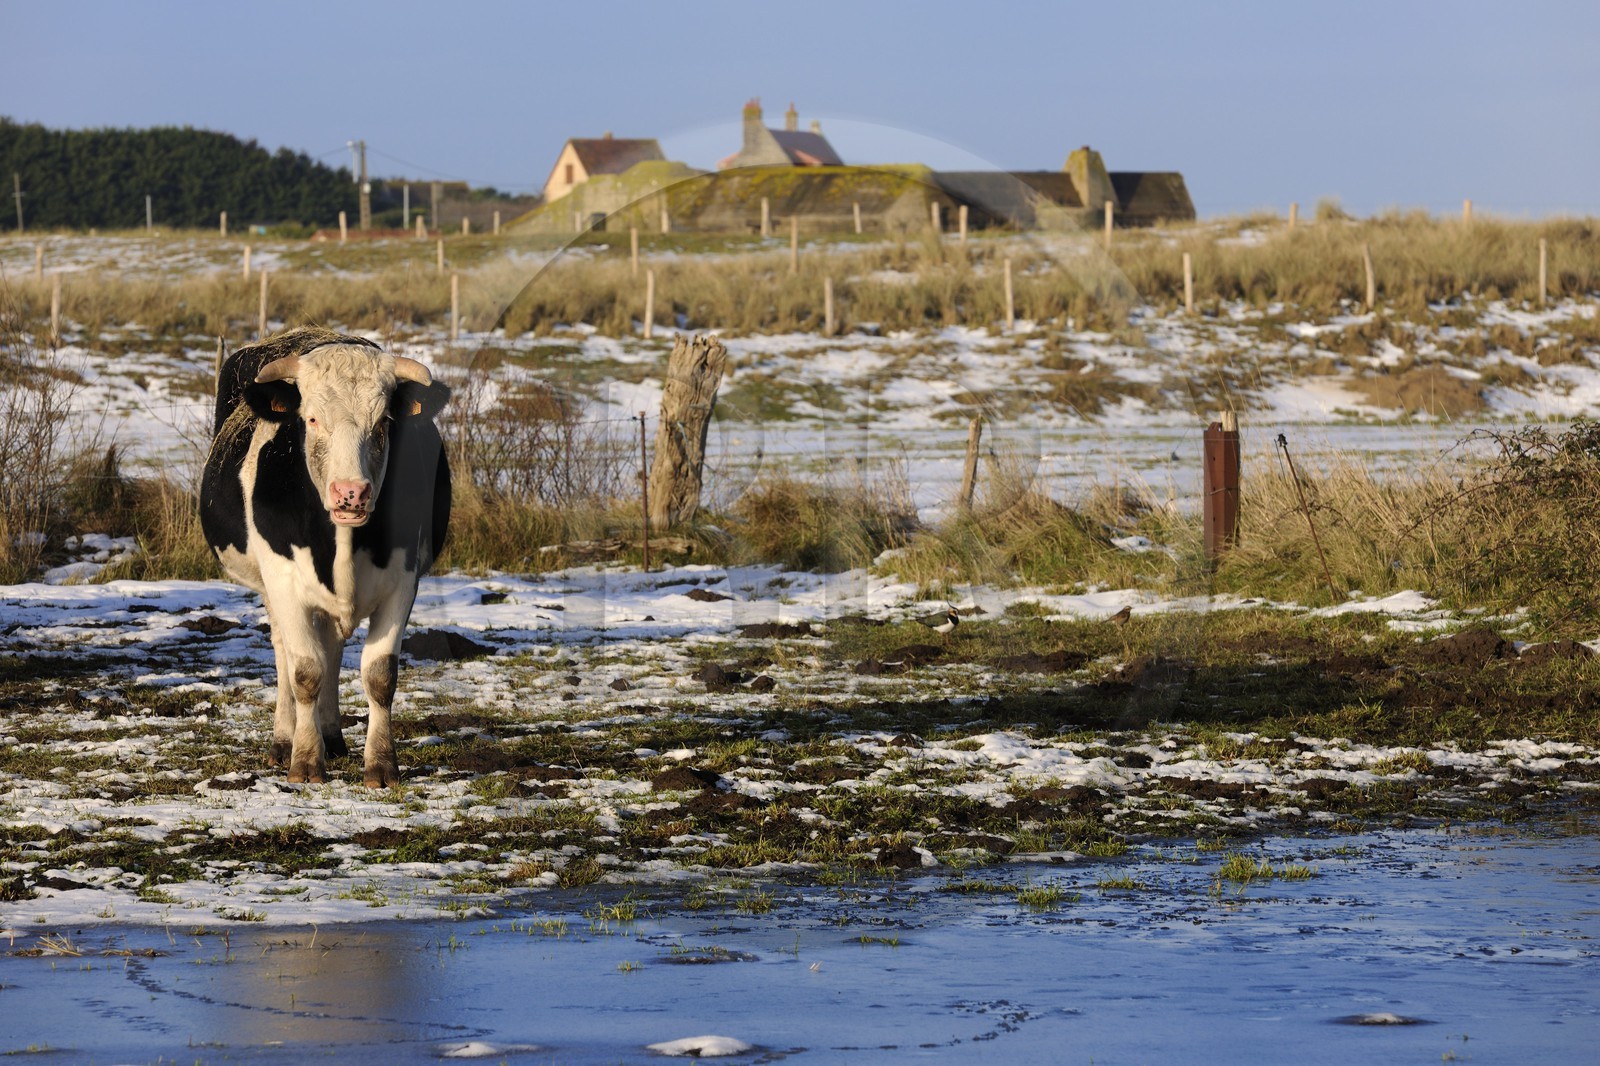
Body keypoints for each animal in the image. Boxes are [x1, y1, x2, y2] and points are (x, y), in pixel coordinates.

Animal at [201, 327, 451, 787]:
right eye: (313, 419)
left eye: (384, 422)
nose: (351, 492)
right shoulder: (283, 580)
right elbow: (304, 671)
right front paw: (304, 760)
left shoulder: (404, 581)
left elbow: (379, 674)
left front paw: (381, 764)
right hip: (268, 588)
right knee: (286, 652)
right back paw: (285, 741)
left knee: (332, 647)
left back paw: (332, 736)